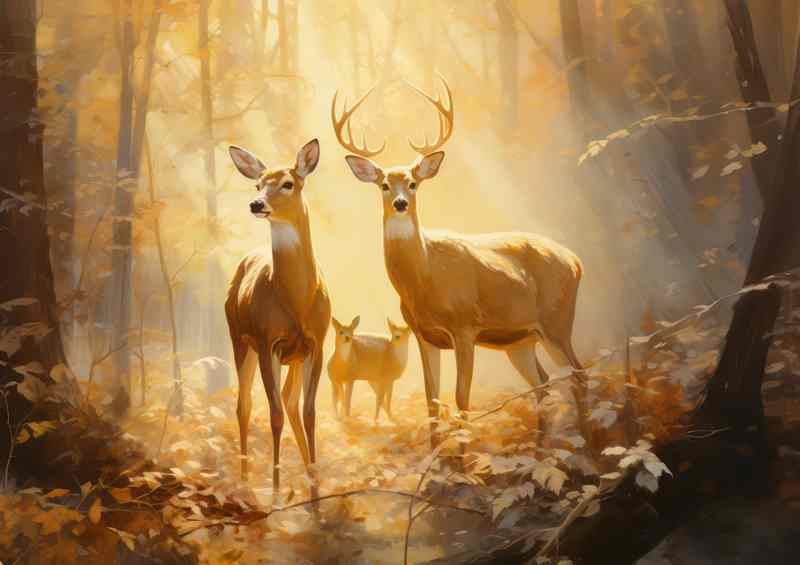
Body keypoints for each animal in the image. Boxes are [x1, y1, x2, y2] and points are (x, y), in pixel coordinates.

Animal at [224, 139, 331, 496]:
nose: (256, 204)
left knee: (290, 400)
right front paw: (275, 491)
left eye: (288, 183)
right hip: (239, 338)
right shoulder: (267, 340)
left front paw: (315, 491)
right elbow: (273, 415)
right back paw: (244, 481)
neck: (297, 300)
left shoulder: (317, 343)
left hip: (292, 356)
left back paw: (310, 475)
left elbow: (310, 412)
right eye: (257, 184)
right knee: (244, 404)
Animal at [331, 76, 592, 449]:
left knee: (579, 375)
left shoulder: (465, 326)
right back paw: (543, 448)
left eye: (413, 183)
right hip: (520, 340)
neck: (423, 280)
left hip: (557, 321)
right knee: (542, 383)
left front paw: (463, 458)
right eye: (383, 184)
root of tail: (576, 260)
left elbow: (461, 398)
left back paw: (592, 444)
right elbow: (431, 400)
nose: (400, 203)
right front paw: (436, 456)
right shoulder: (424, 334)